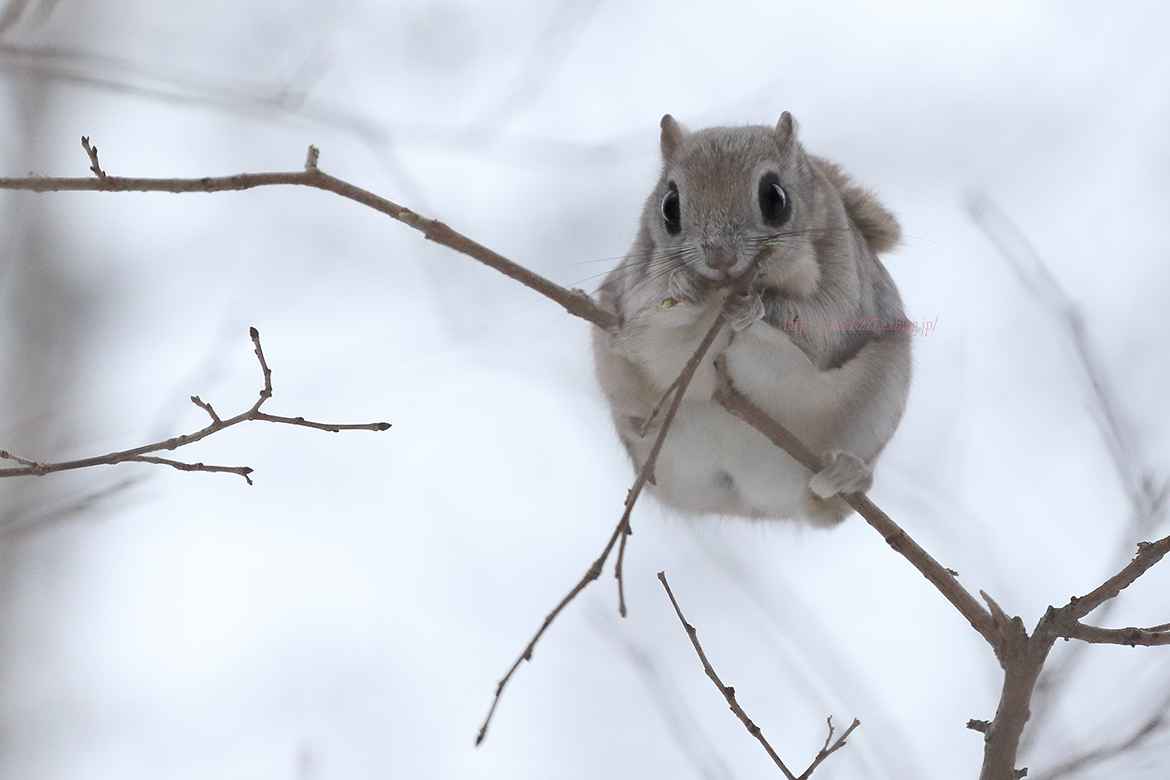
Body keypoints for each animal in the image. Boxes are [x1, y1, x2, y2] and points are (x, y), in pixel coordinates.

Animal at [589, 111, 907, 523]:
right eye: (669, 205)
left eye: (775, 198)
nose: (719, 260)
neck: (724, 291)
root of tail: (747, 504)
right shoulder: (634, 288)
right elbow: (645, 336)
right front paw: (686, 289)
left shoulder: (847, 293)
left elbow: (820, 333)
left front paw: (750, 308)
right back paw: (638, 420)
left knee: (826, 508)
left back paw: (845, 475)